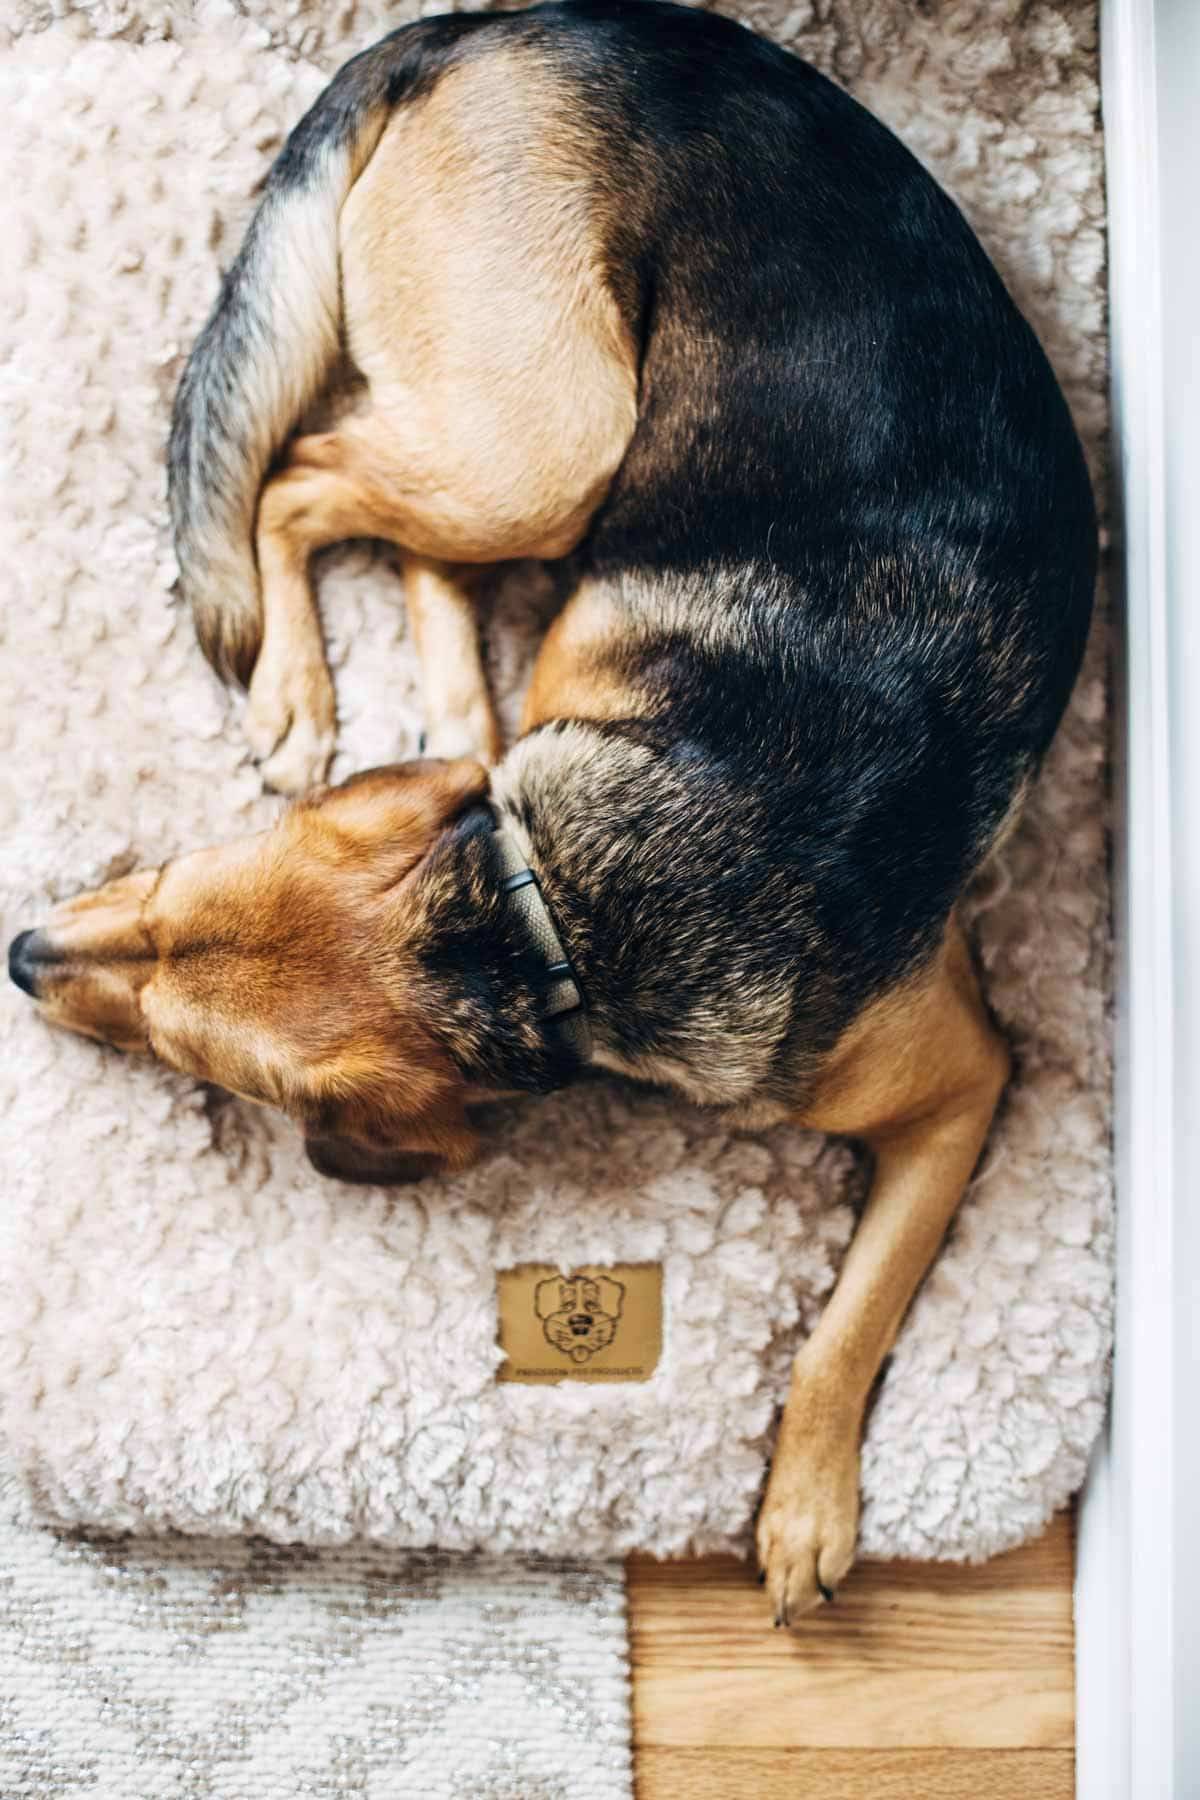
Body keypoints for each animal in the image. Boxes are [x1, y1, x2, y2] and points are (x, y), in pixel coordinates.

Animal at [7, 0, 1101, 1627]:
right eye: (162, 889)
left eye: (183, 1043)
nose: (19, 956)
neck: (542, 917)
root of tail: (496, 25)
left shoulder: (962, 1087)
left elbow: (848, 1326)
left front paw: (806, 1506)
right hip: (544, 445)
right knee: (321, 485)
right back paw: (312, 690)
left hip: (542, 450)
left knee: (324, 493)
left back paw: (348, 695)